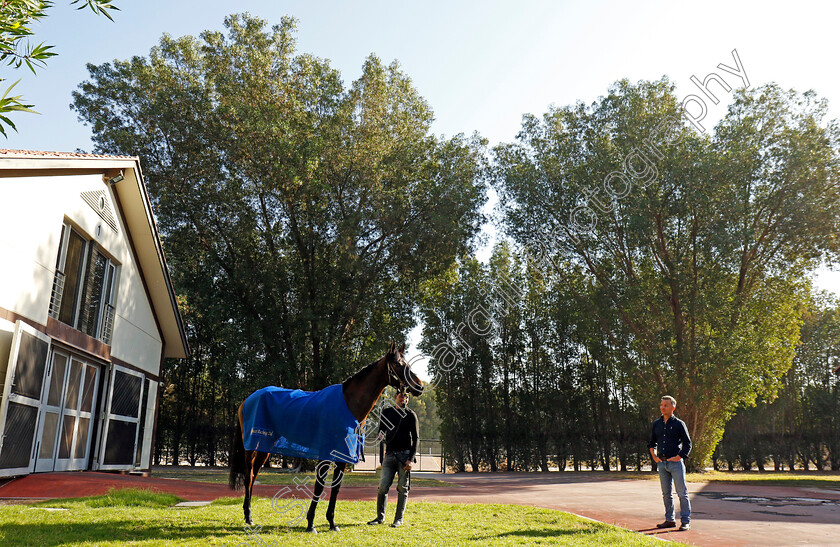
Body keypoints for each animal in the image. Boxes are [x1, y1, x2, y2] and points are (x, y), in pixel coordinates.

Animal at [226, 344, 424, 532]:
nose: (420, 386)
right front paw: (311, 524)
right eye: (398, 364)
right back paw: (248, 517)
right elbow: (319, 486)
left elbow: (336, 488)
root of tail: (247, 400)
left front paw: (332, 522)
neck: (348, 404)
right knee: (248, 476)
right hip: (251, 447)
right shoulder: (326, 454)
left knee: (253, 476)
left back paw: (249, 515)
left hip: (265, 448)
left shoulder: (343, 456)